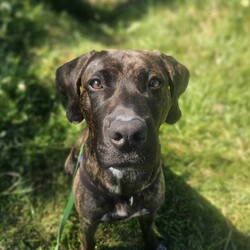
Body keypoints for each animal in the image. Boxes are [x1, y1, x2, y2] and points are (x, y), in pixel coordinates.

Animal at [56, 49, 189, 250]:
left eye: (155, 82)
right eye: (96, 83)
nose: (128, 134)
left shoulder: (149, 213)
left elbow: (149, 233)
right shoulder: (88, 223)